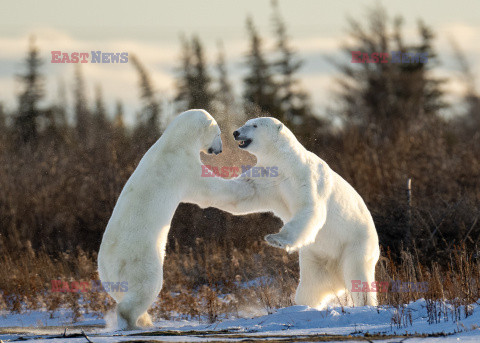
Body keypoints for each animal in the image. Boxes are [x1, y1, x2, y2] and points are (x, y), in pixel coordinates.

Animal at [99, 110, 253, 330]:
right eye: (218, 133)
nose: (220, 149)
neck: (173, 142)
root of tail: (107, 263)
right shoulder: (184, 167)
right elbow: (209, 190)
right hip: (139, 260)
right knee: (147, 286)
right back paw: (136, 323)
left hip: (109, 275)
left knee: (120, 292)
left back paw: (144, 319)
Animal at [201, 117, 380, 308]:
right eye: (246, 122)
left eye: (254, 125)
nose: (236, 132)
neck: (286, 162)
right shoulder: (269, 177)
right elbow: (246, 192)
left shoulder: (307, 177)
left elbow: (309, 208)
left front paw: (275, 239)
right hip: (315, 260)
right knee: (311, 288)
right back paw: (305, 305)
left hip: (356, 244)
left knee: (357, 276)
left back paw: (365, 304)